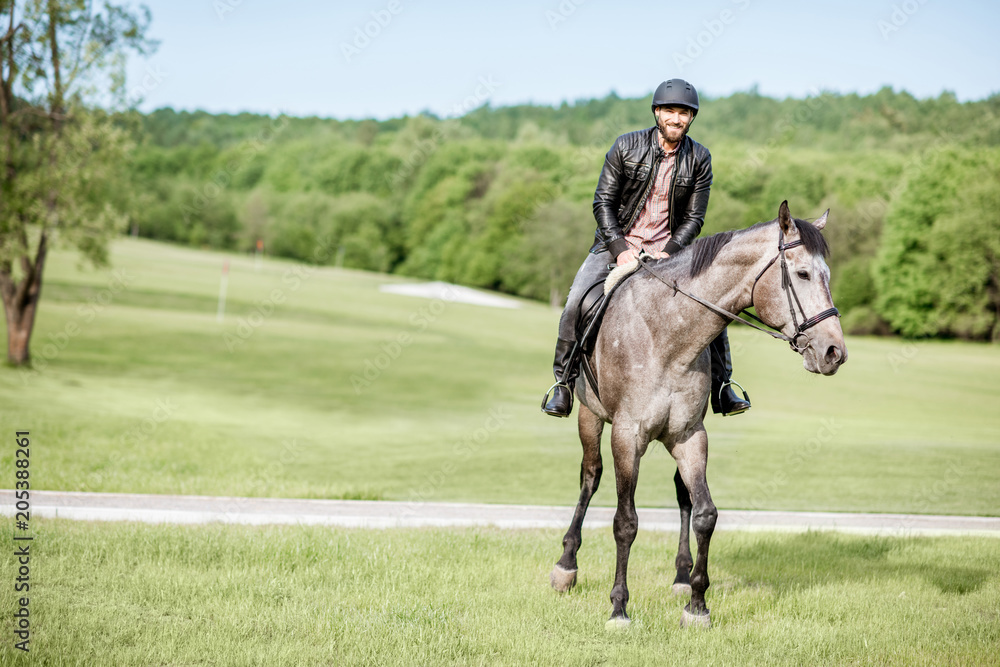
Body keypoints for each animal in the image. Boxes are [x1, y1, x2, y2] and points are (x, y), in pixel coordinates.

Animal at [552, 201, 848, 628]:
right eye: (803, 274)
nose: (834, 352)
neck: (667, 334)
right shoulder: (627, 435)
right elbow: (625, 522)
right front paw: (619, 608)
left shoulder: (690, 435)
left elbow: (705, 513)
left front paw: (696, 604)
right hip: (589, 419)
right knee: (590, 478)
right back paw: (566, 564)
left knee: (682, 496)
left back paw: (679, 575)